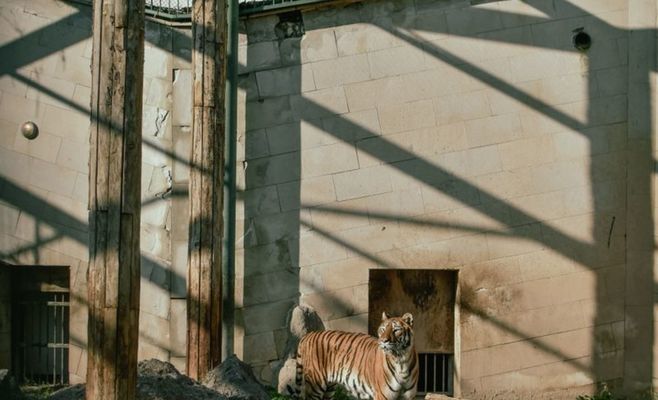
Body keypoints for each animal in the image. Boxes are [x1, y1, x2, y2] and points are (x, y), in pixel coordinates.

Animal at [287, 312, 418, 400]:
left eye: (396, 330)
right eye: (382, 329)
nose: (383, 341)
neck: (401, 359)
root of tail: (308, 335)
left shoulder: (409, 397)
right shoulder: (383, 396)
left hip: (329, 387)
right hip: (315, 384)